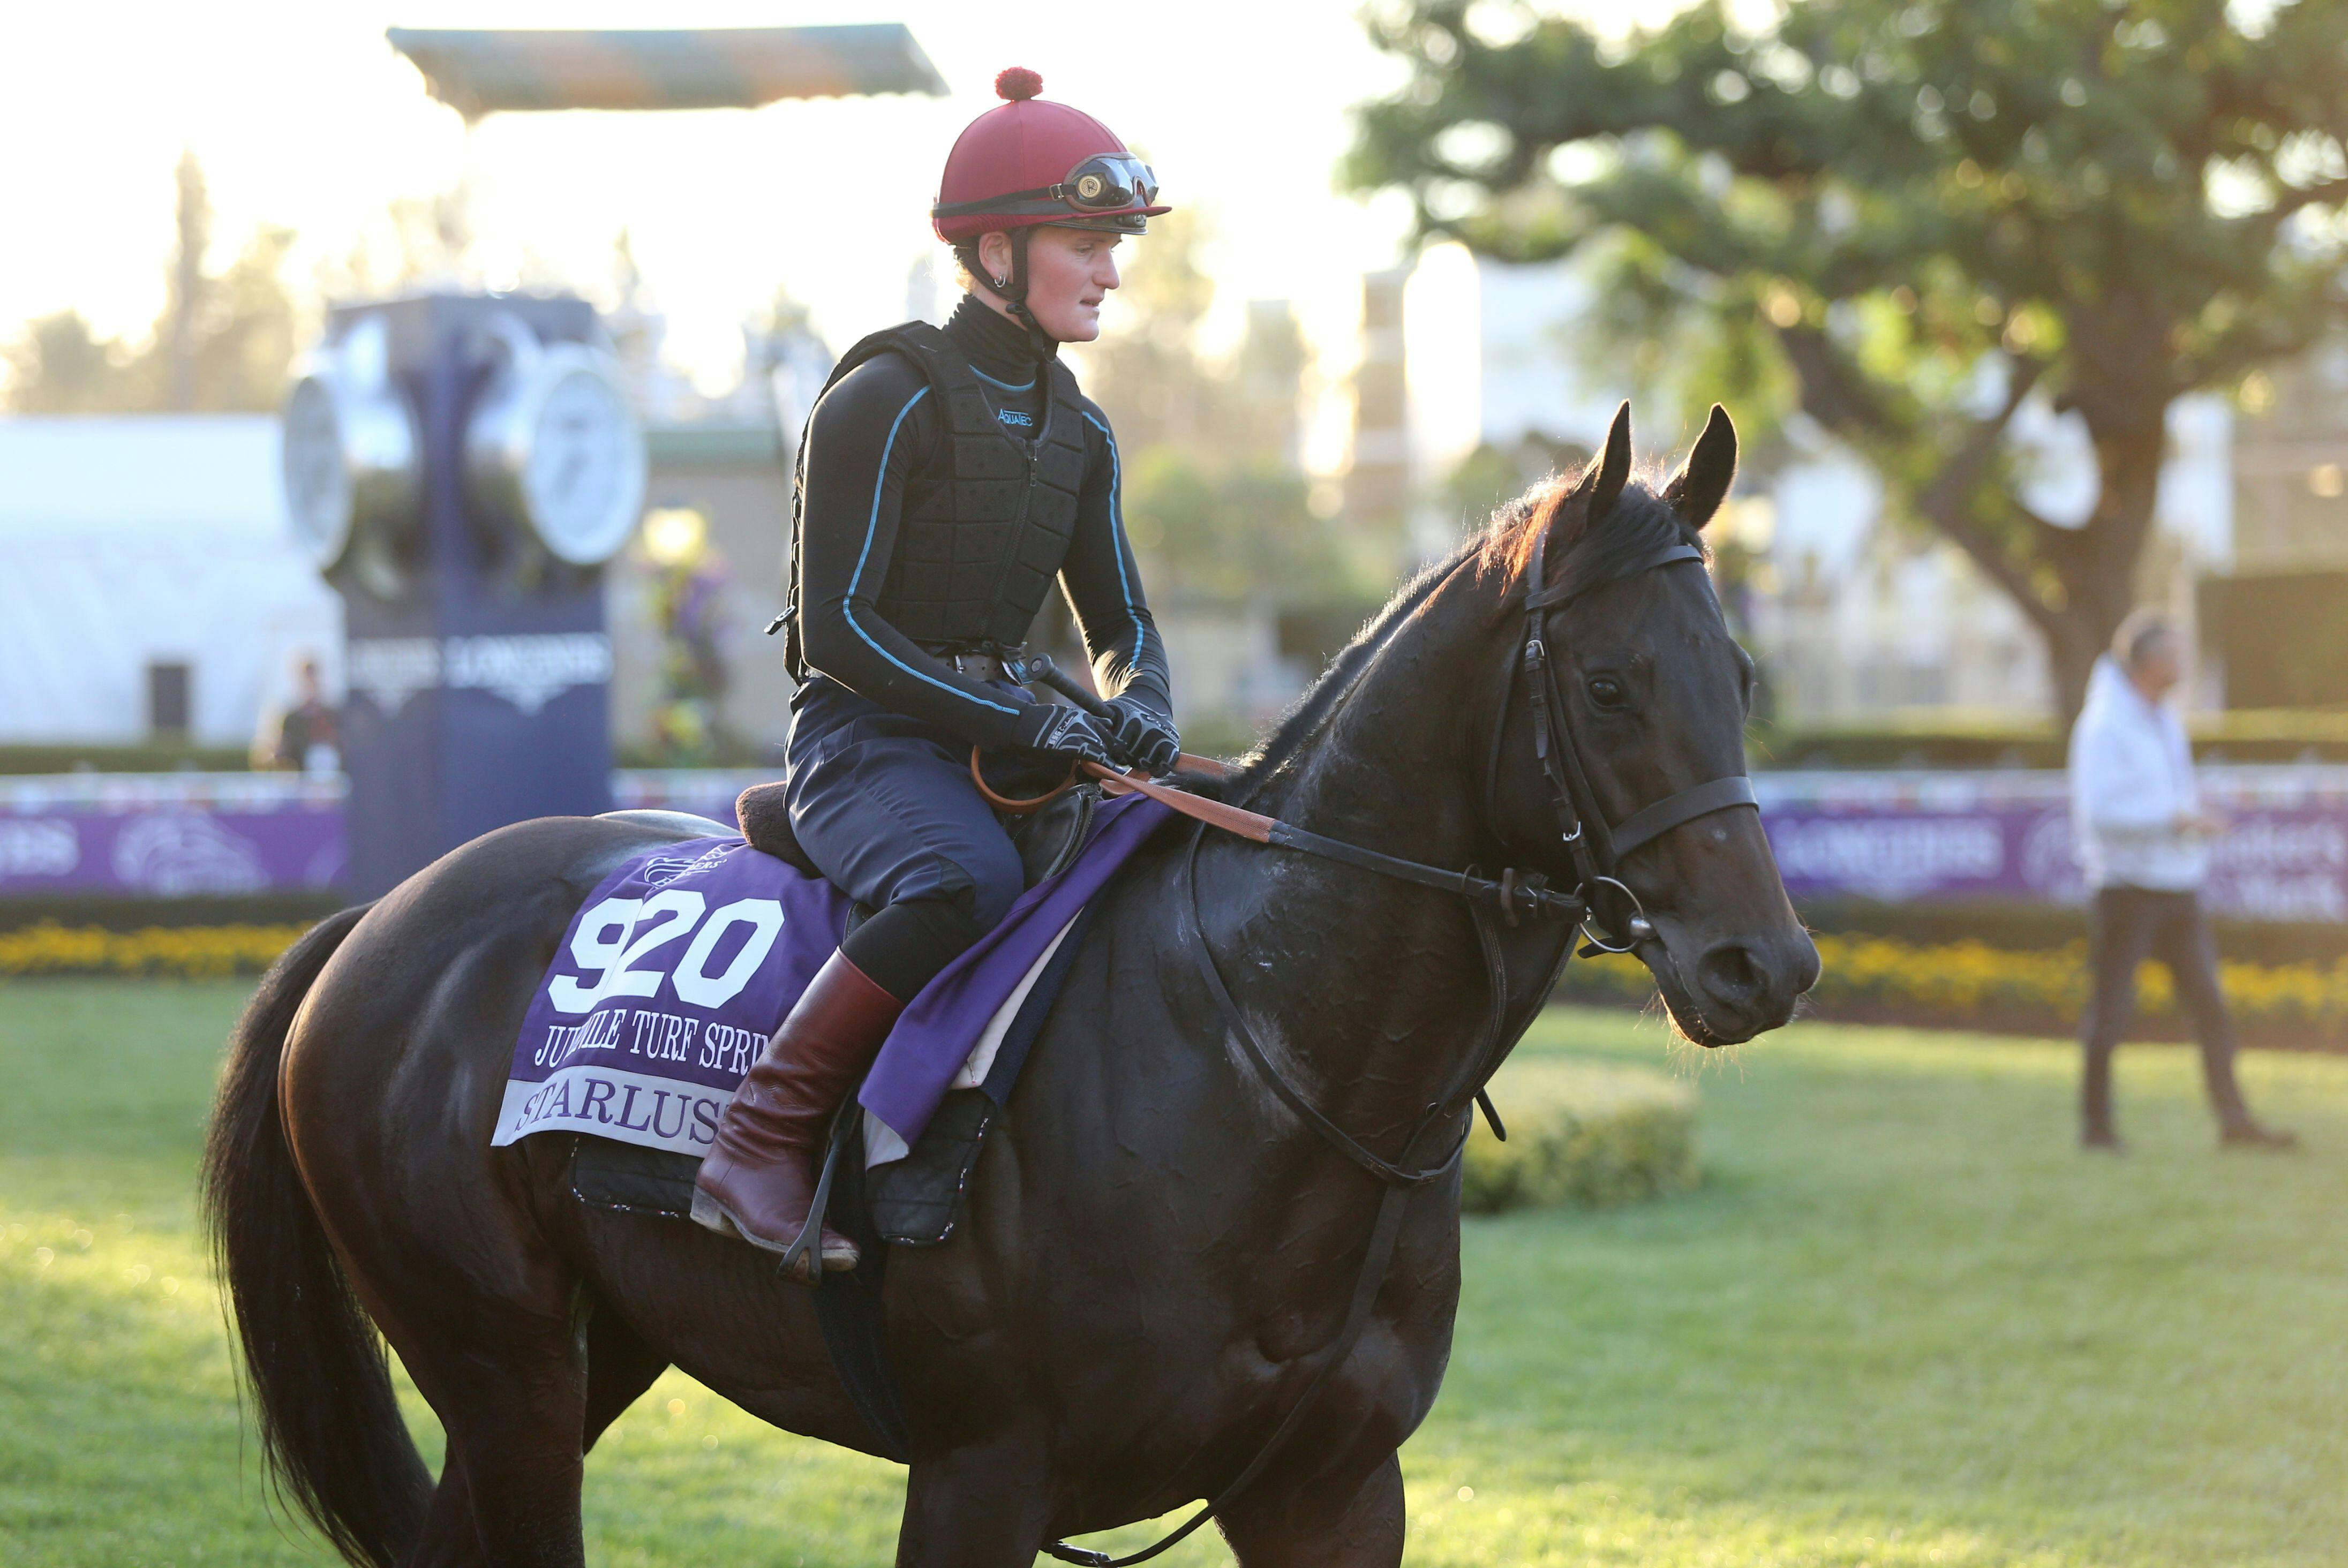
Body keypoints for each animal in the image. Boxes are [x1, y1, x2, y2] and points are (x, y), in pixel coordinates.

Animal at [202, 408, 1812, 1568]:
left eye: (1736, 675)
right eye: (1608, 684)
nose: (1766, 962)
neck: (1264, 1055)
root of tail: (381, 914)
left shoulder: (1333, 1487)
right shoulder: (983, 1473)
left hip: (597, 1353)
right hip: (505, 1367)